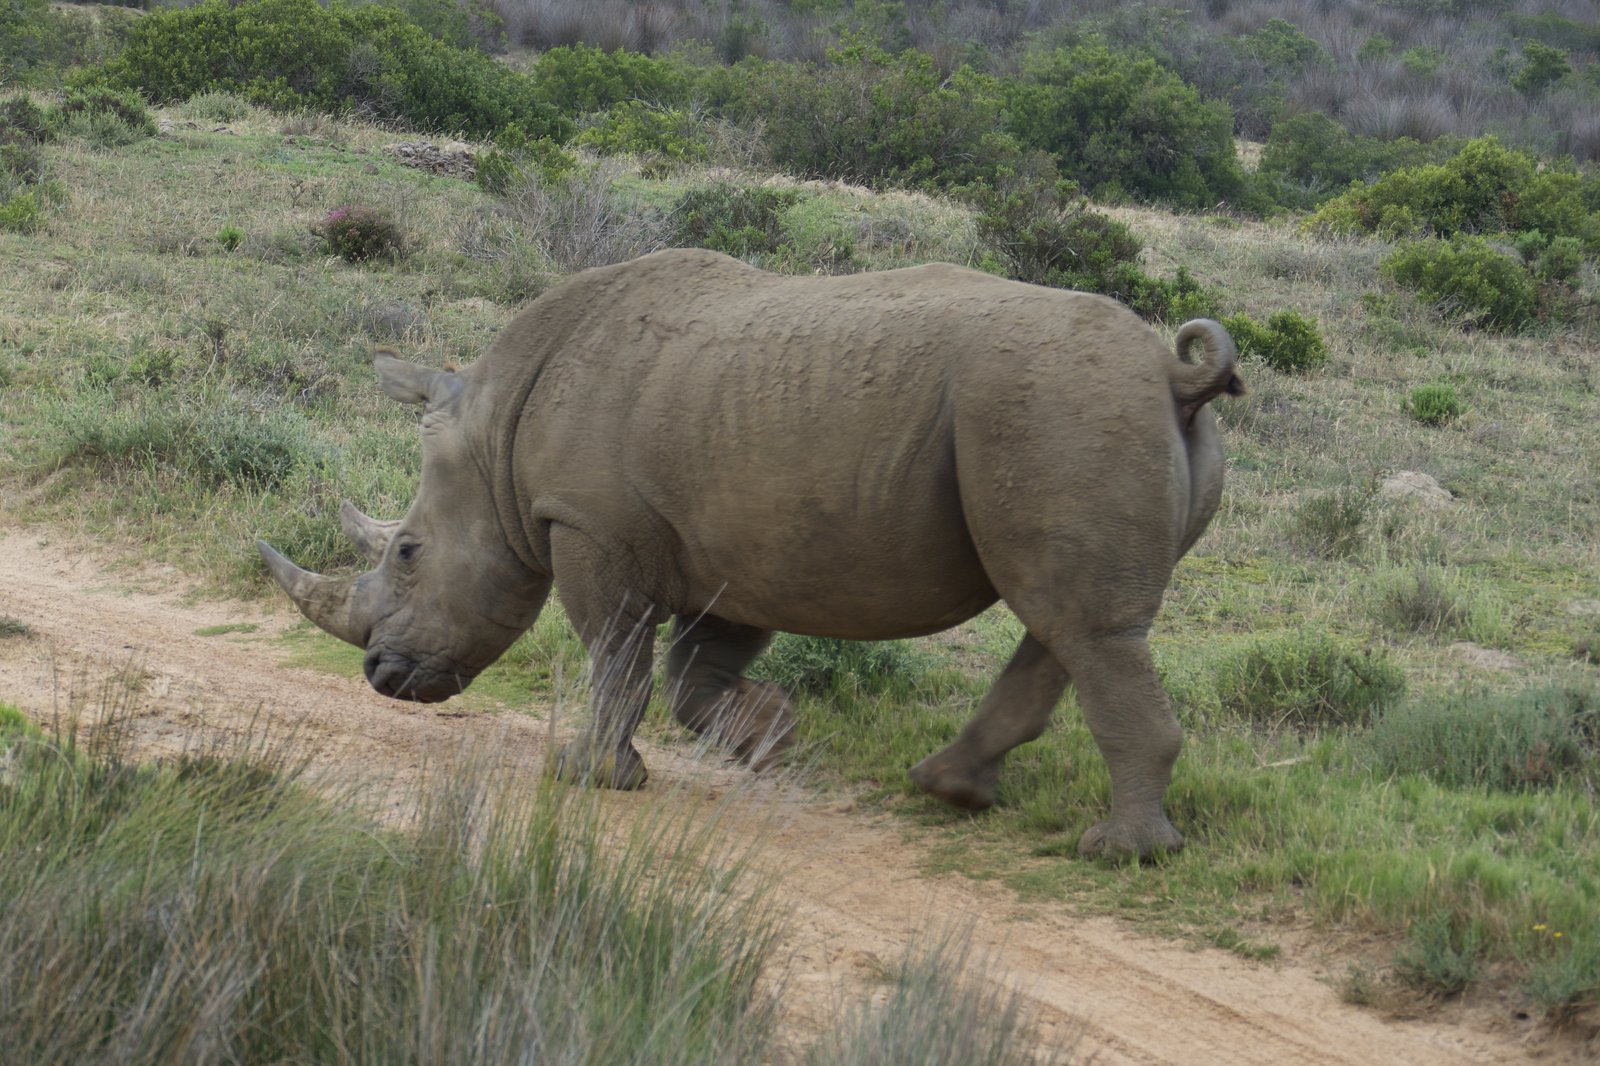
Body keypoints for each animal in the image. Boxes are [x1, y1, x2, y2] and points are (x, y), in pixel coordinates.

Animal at [259, 248, 1243, 859]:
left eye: (408, 554)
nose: (381, 677)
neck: (496, 430)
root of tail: (1171, 372)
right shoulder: (729, 544)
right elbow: (693, 675)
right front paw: (770, 736)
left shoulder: (590, 524)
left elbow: (615, 650)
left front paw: (591, 777)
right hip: (1074, 409)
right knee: (1061, 618)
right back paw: (948, 790)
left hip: (1058, 405)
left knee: (1084, 625)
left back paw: (1119, 852)